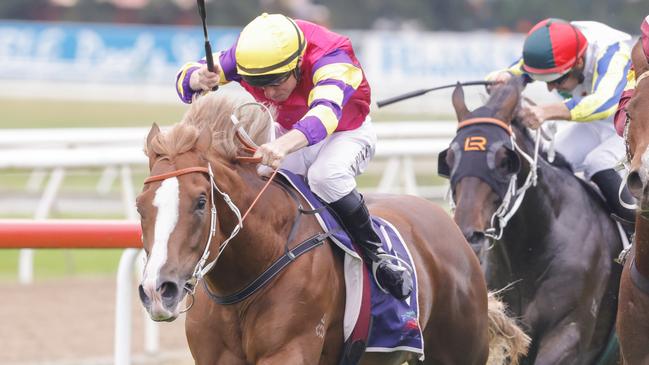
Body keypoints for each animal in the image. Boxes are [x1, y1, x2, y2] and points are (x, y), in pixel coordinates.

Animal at [134, 92, 528, 362]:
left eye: (201, 201)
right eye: (140, 206)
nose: (158, 290)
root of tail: (451, 229)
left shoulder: (290, 349)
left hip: (460, 348)